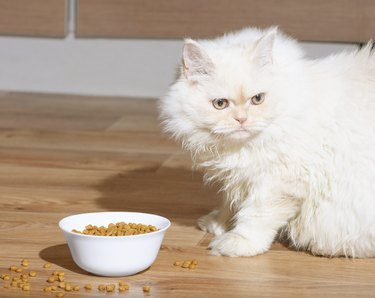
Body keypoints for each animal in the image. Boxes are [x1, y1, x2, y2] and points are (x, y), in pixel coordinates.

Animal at [159, 26, 375, 258]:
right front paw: (218, 223)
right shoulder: (242, 175)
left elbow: (255, 216)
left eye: (257, 99)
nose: (241, 119)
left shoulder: (278, 182)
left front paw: (236, 243)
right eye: (220, 104)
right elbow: (231, 202)